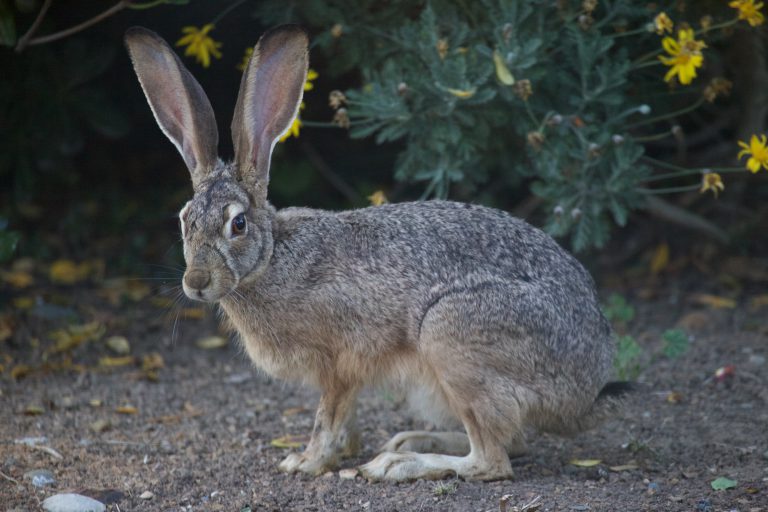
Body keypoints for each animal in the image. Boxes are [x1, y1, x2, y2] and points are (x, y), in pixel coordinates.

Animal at [124, 24, 629, 482]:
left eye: (238, 224)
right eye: (184, 219)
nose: (196, 283)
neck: (272, 260)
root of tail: (587, 387)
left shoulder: (340, 363)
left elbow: (328, 416)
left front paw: (307, 462)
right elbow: (342, 418)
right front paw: (342, 450)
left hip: (451, 335)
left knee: (493, 461)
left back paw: (398, 463)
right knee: (514, 442)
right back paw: (406, 442)